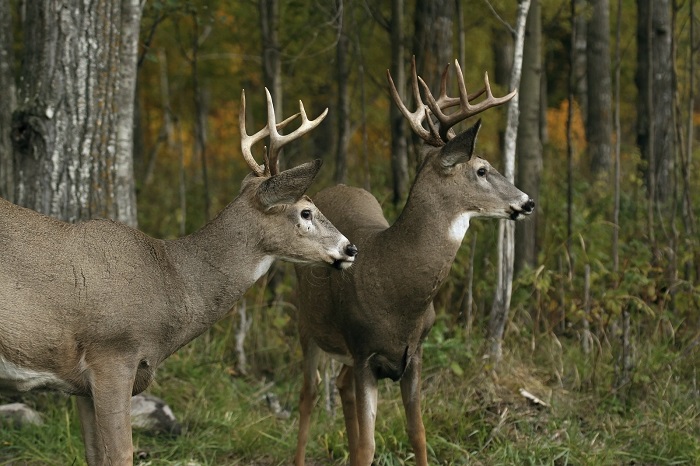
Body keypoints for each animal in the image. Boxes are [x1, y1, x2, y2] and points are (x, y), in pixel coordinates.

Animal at [0, 88, 358, 466]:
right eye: (306, 211)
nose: (351, 249)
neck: (170, 280)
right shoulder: (112, 353)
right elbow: (121, 453)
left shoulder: (81, 386)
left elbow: (94, 454)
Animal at [292, 59, 532, 466]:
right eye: (482, 169)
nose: (527, 201)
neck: (398, 289)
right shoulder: (363, 351)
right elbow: (367, 447)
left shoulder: (414, 354)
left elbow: (418, 433)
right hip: (309, 327)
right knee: (308, 394)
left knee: (339, 386)